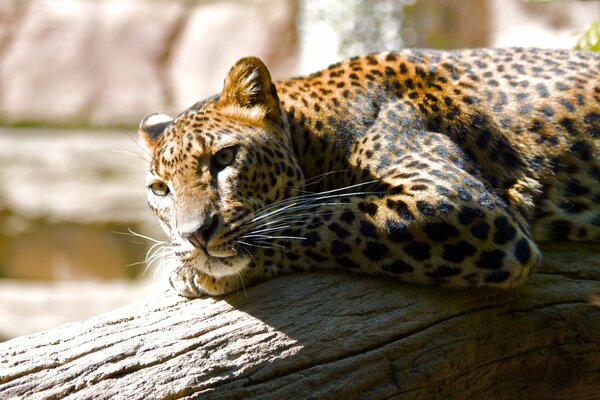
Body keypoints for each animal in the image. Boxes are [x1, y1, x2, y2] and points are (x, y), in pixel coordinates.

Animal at [138, 47, 596, 296]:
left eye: (224, 158)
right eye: (160, 189)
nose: (195, 236)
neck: (315, 134)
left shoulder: (460, 202)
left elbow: (328, 218)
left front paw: (196, 272)